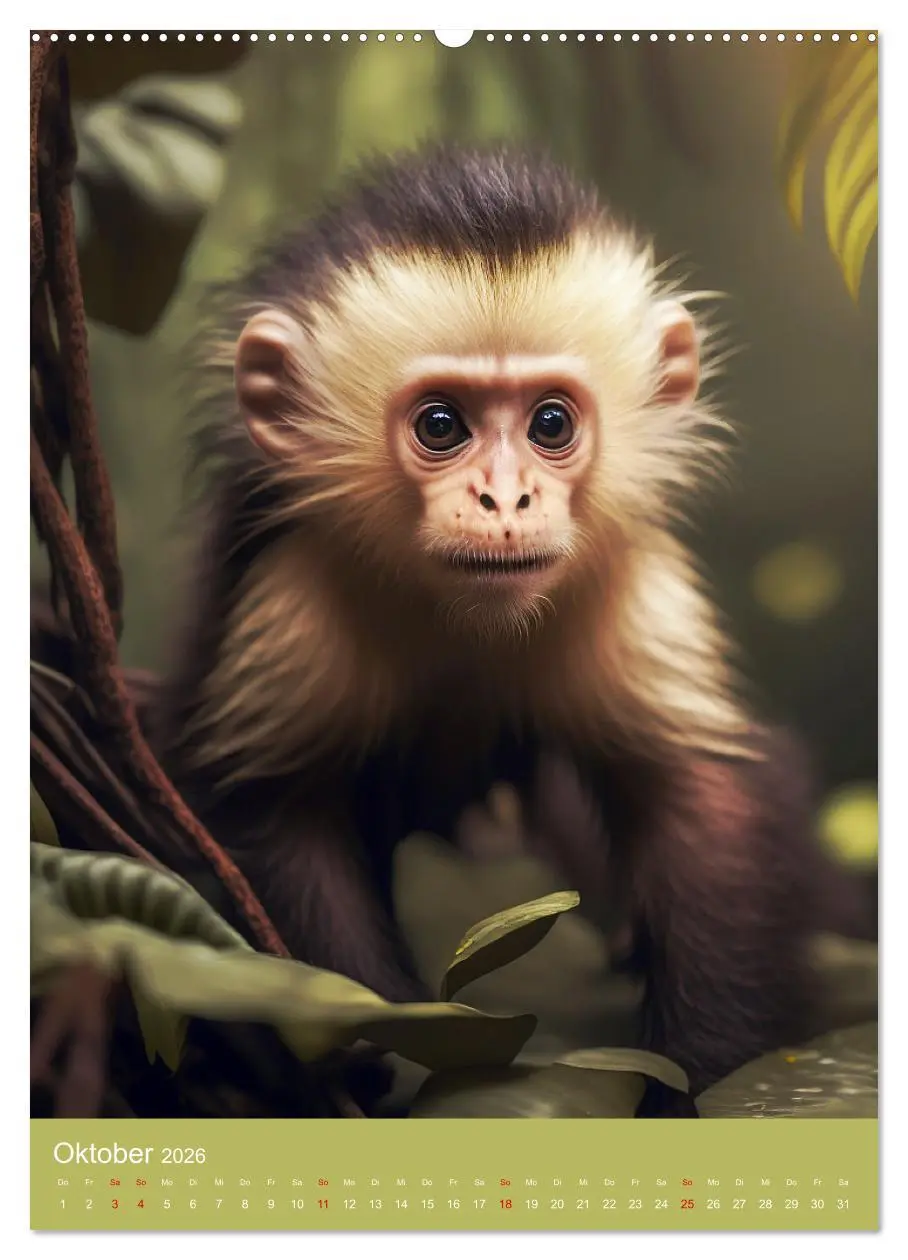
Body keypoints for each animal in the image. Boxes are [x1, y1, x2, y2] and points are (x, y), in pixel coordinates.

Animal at [152, 145, 862, 1114]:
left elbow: (699, 796)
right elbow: (270, 811)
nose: (505, 499)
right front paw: (389, 1059)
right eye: (441, 424)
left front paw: (697, 1082)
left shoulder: (627, 578)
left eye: (550, 423)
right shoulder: (294, 589)